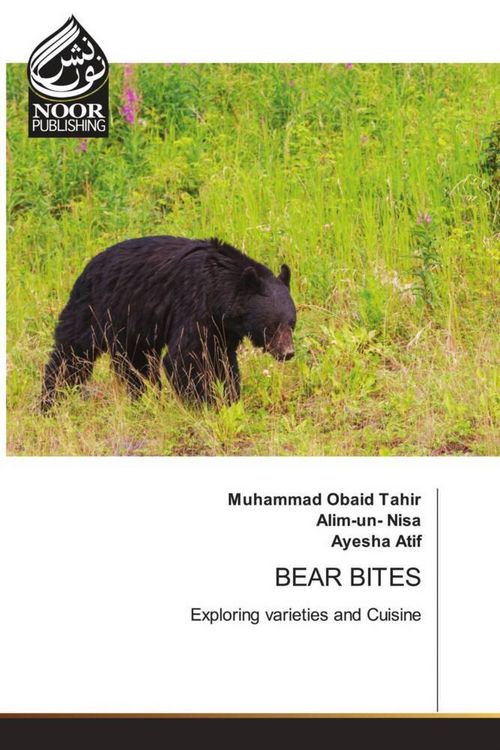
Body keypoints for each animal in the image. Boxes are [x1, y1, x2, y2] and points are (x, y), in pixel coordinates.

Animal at [41, 236, 296, 410]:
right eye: (272, 325)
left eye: (291, 323)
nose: (288, 353)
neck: (218, 290)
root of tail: (86, 267)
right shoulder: (193, 305)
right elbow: (185, 357)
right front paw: (203, 403)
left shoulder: (223, 328)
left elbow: (222, 360)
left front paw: (229, 397)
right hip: (94, 309)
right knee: (71, 355)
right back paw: (49, 402)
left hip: (132, 328)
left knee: (135, 365)